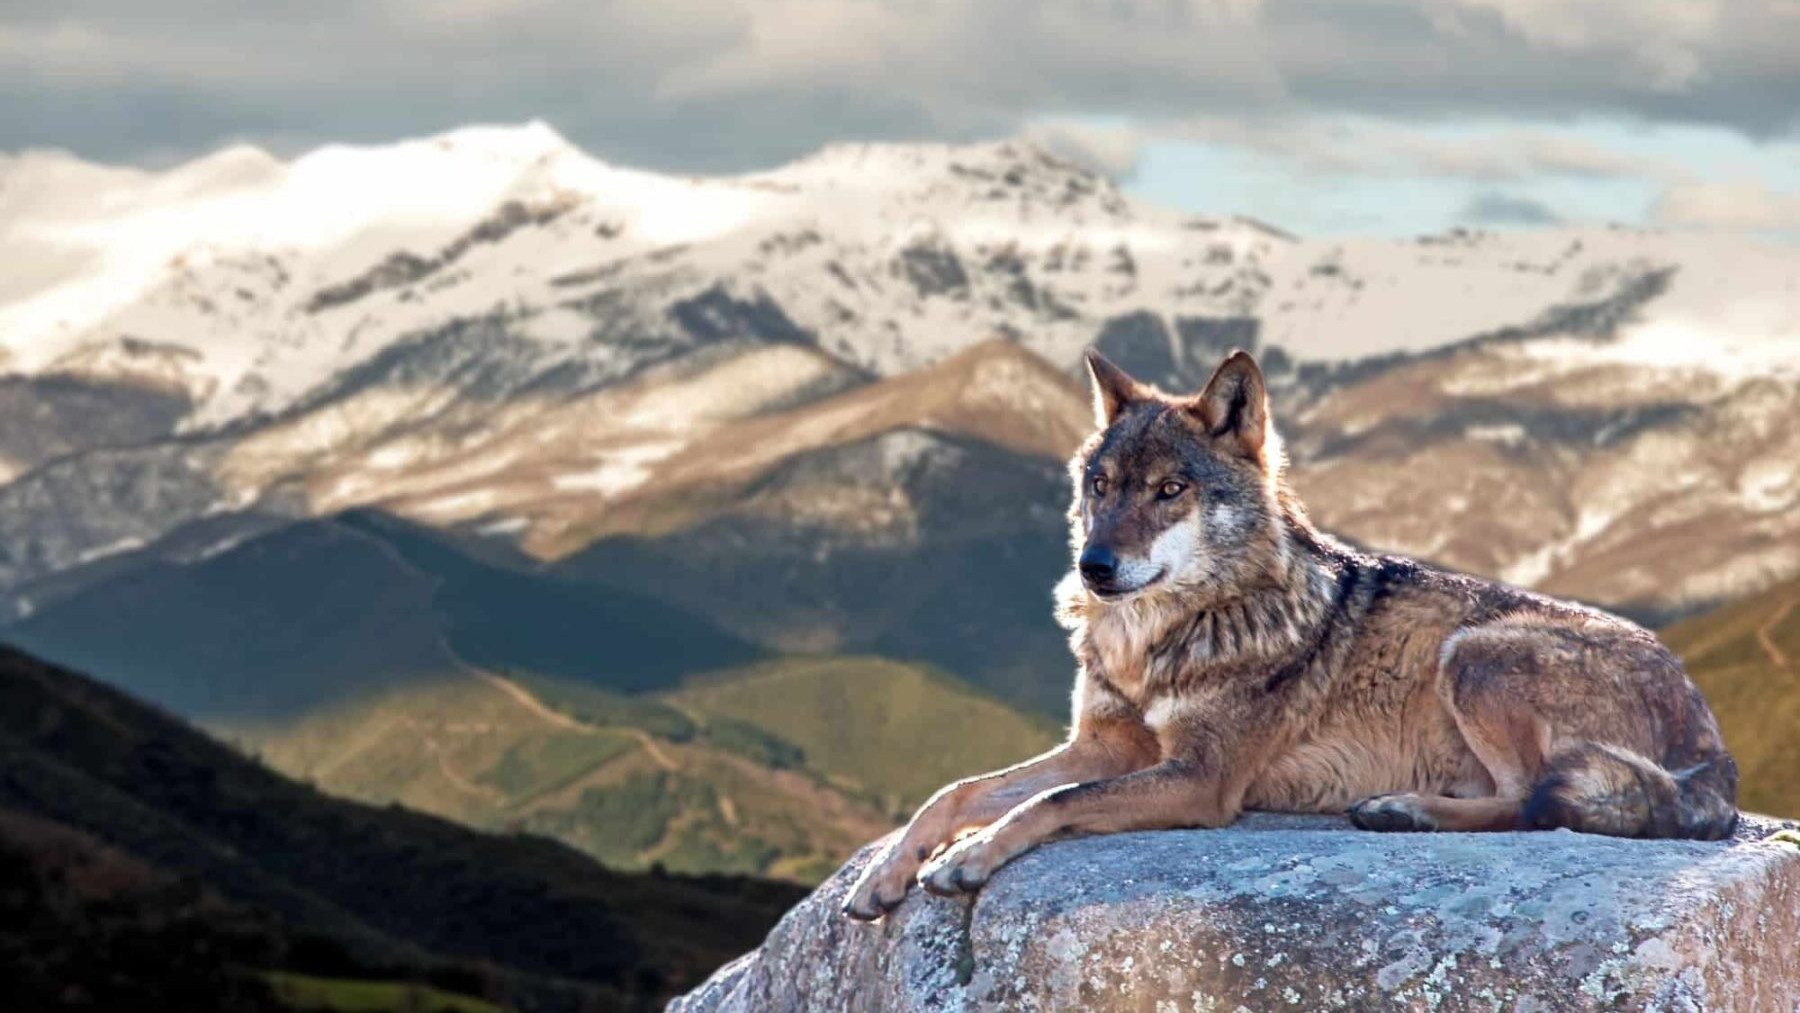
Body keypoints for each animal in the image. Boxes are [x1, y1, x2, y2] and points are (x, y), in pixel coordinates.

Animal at [843, 348, 1738, 920]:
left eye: (1170, 490)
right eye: (1101, 485)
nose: (1094, 567)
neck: (1158, 640)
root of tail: (1713, 741)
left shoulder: (1199, 779)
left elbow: (1051, 801)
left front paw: (965, 858)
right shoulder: (1105, 745)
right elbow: (957, 791)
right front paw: (886, 875)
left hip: (1475, 654)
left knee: (1531, 801)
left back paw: (1403, 810)